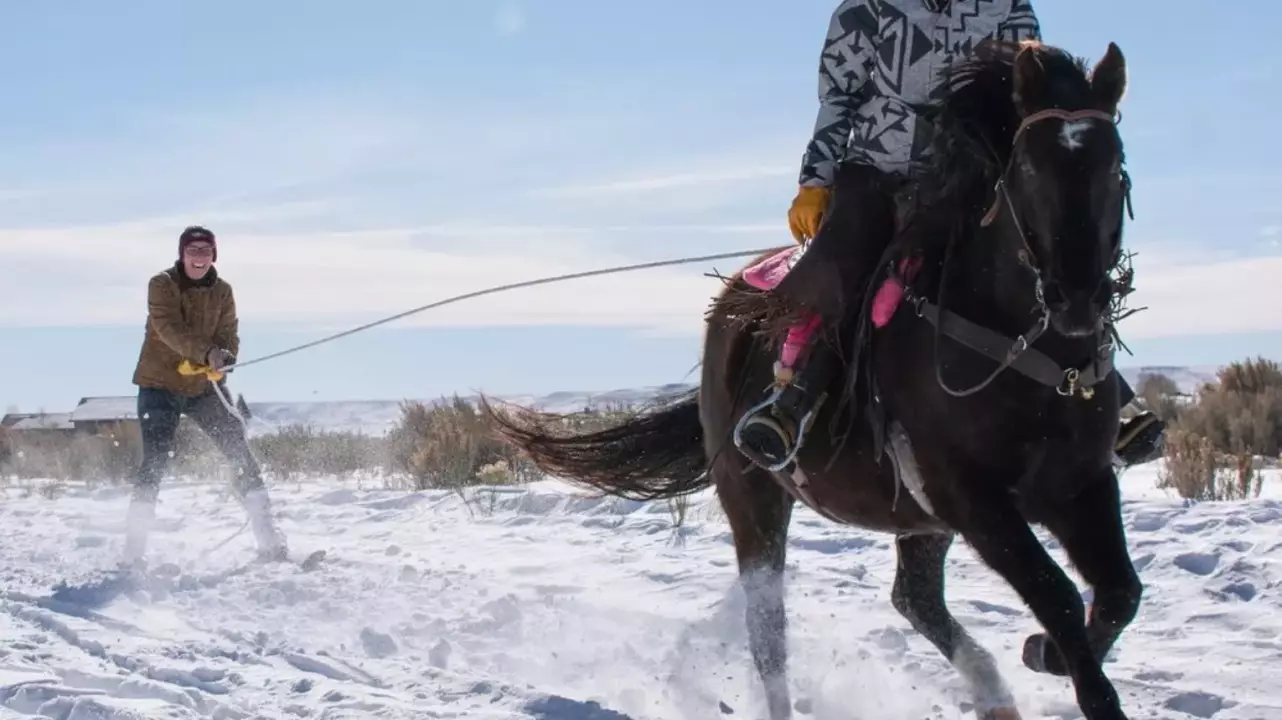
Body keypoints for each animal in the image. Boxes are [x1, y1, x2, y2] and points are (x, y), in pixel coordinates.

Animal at [482, 40, 1143, 717]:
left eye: (1114, 166)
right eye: (1030, 168)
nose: (1077, 298)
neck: (1022, 354)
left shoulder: (1080, 485)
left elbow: (1119, 592)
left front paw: (1044, 653)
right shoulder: (975, 500)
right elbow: (1058, 595)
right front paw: (1062, 660)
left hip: (915, 519)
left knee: (914, 597)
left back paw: (992, 693)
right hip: (754, 498)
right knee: (769, 632)